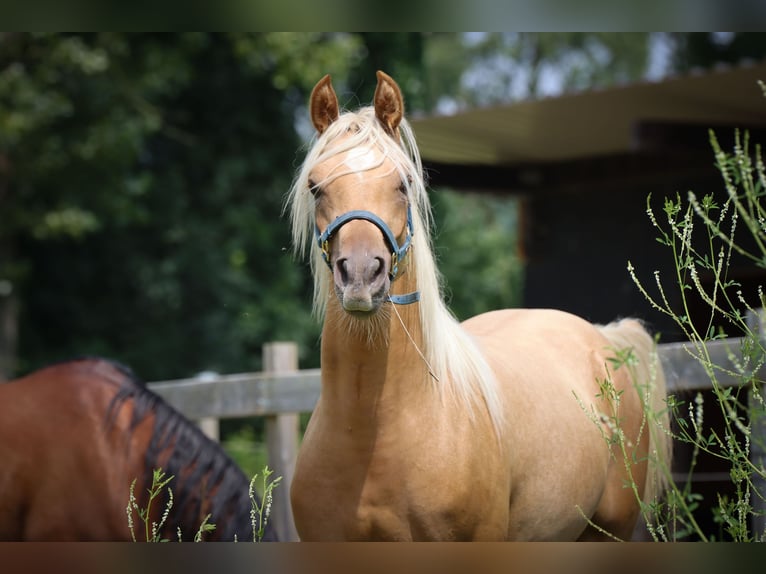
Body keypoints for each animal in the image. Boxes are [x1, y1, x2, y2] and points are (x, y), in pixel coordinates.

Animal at [288, 70, 672, 544]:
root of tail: (604, 336)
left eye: (404, 183)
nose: (361, 274)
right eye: (316, 186)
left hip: (609, 530)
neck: (374, 429)